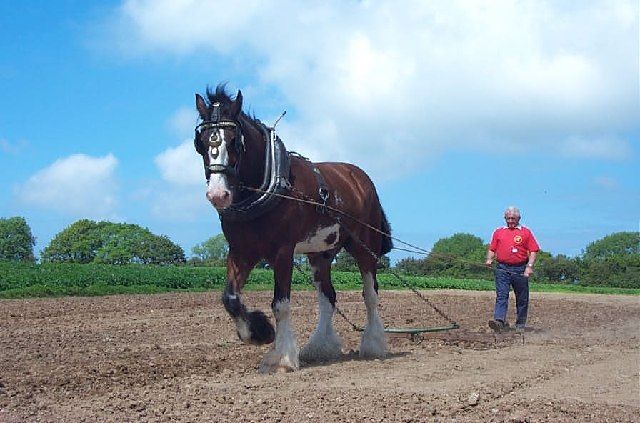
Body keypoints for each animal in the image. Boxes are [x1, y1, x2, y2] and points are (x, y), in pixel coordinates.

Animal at [193, 84, 393, 373]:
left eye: (234, 141)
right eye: (200, 143)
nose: (218, 195)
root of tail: (361, 178)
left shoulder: (282, 252)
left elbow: (281, 304)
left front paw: (281, 358)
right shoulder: (241, 251)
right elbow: (230, 298)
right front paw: (259, 333)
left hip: (364, 246)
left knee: (370, 295)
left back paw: (373, 345)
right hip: (320, 254)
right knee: (328, 297)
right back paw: (320, 346)